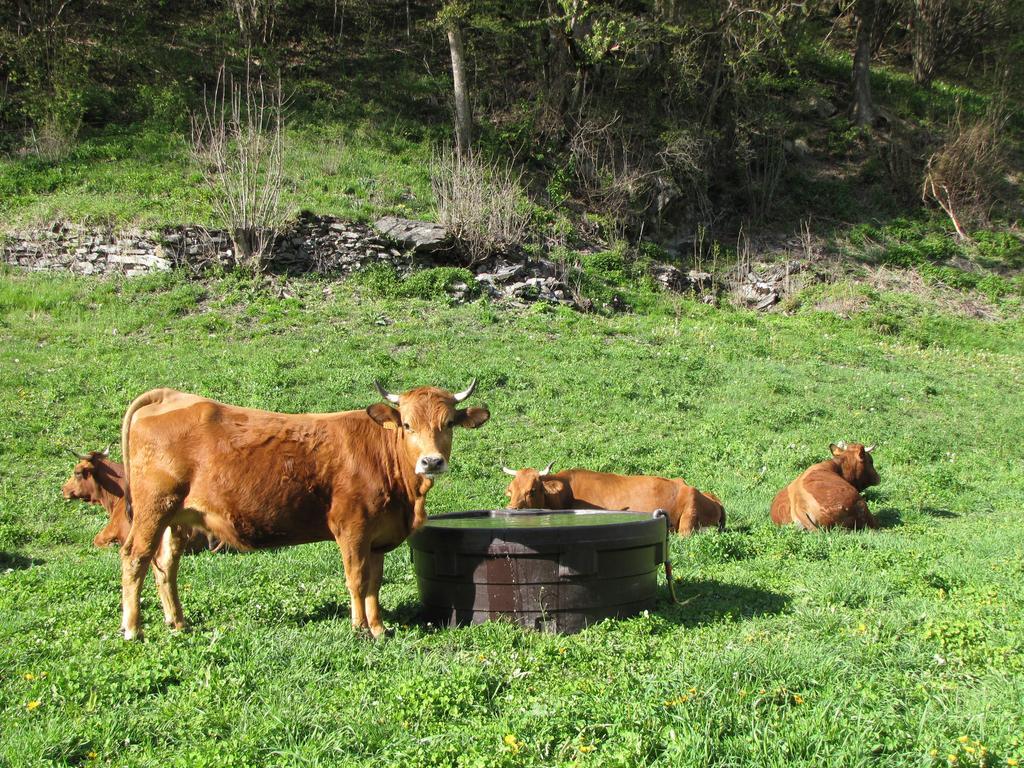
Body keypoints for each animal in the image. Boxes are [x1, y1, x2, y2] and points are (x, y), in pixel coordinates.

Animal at [117, 382, 489, 638]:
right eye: (407, 425)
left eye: (449, 424)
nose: (431, 462)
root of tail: (171, 396)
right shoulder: (351, 527)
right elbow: (356, 579)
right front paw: (360, 629)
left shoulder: (377, 536)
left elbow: (374, 582)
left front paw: (379, 628)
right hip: (154, 509)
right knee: (135, 558)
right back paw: (134, 629)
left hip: (176, 518)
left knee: (165, 566)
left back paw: (177, 622)